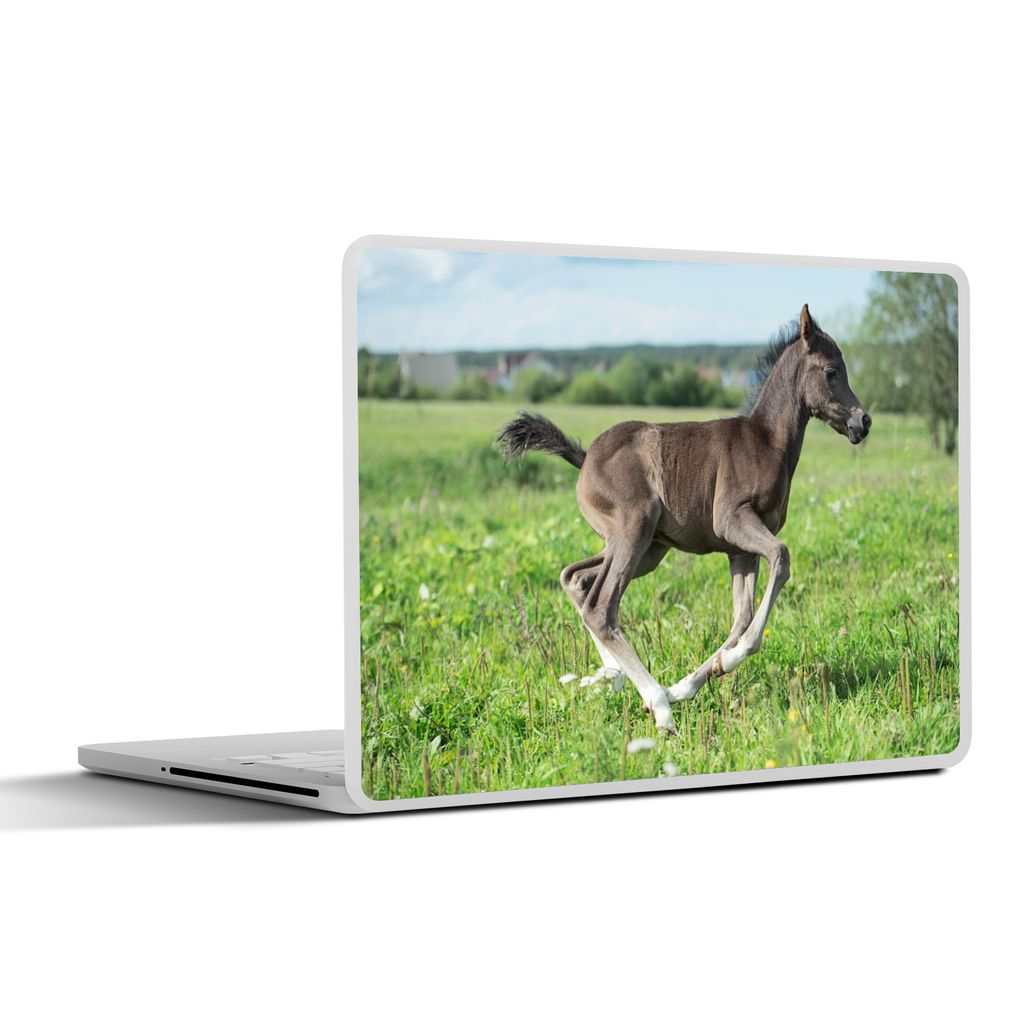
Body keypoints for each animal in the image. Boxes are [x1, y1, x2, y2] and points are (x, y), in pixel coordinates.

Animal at [496, 305, 871, 734]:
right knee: (601, 606)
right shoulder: (733, 520)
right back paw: (657, 705)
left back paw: (615, 678)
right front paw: (702, 676)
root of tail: (585, 457)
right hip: (634, 530)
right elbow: (781, 559)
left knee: (576, 579)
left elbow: (741, 615)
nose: (864, 421)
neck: (765, 441)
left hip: (647, 547)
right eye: (831, 371)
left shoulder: (739, 550)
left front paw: (689, 684)